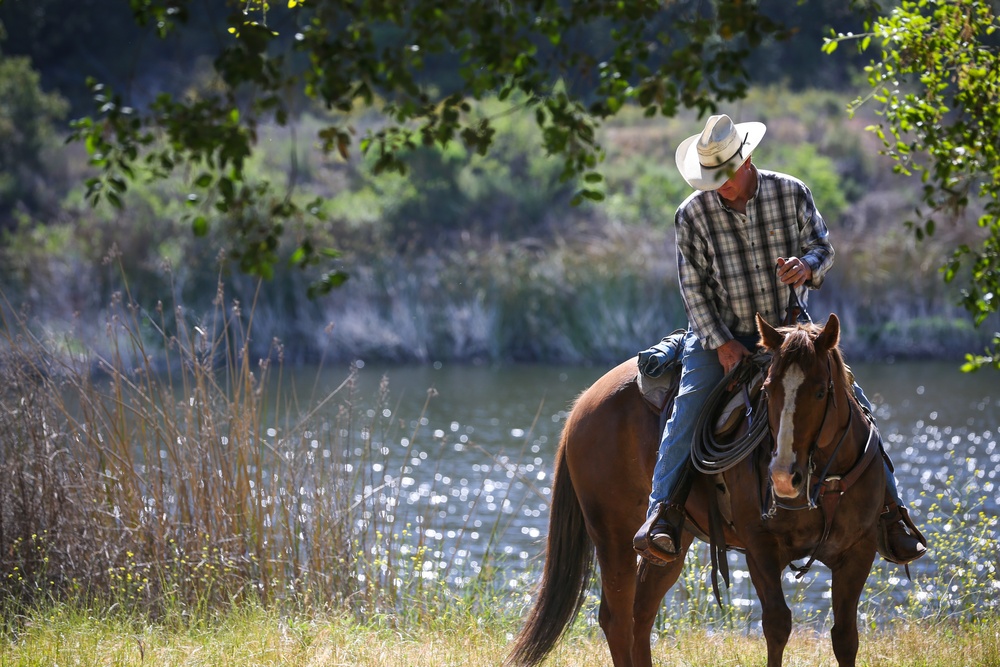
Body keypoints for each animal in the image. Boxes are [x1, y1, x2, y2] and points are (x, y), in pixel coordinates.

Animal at [508, 316, 884, 667]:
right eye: (767, 390)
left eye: (821, 391)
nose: (781, 478)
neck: (823, 481)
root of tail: (581, 405)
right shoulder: (760, 547)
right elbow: (777, 625)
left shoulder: (858, 551)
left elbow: (845, 637)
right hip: (612, 532)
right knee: (617, 619)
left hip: (672, 545)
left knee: (641, 613)